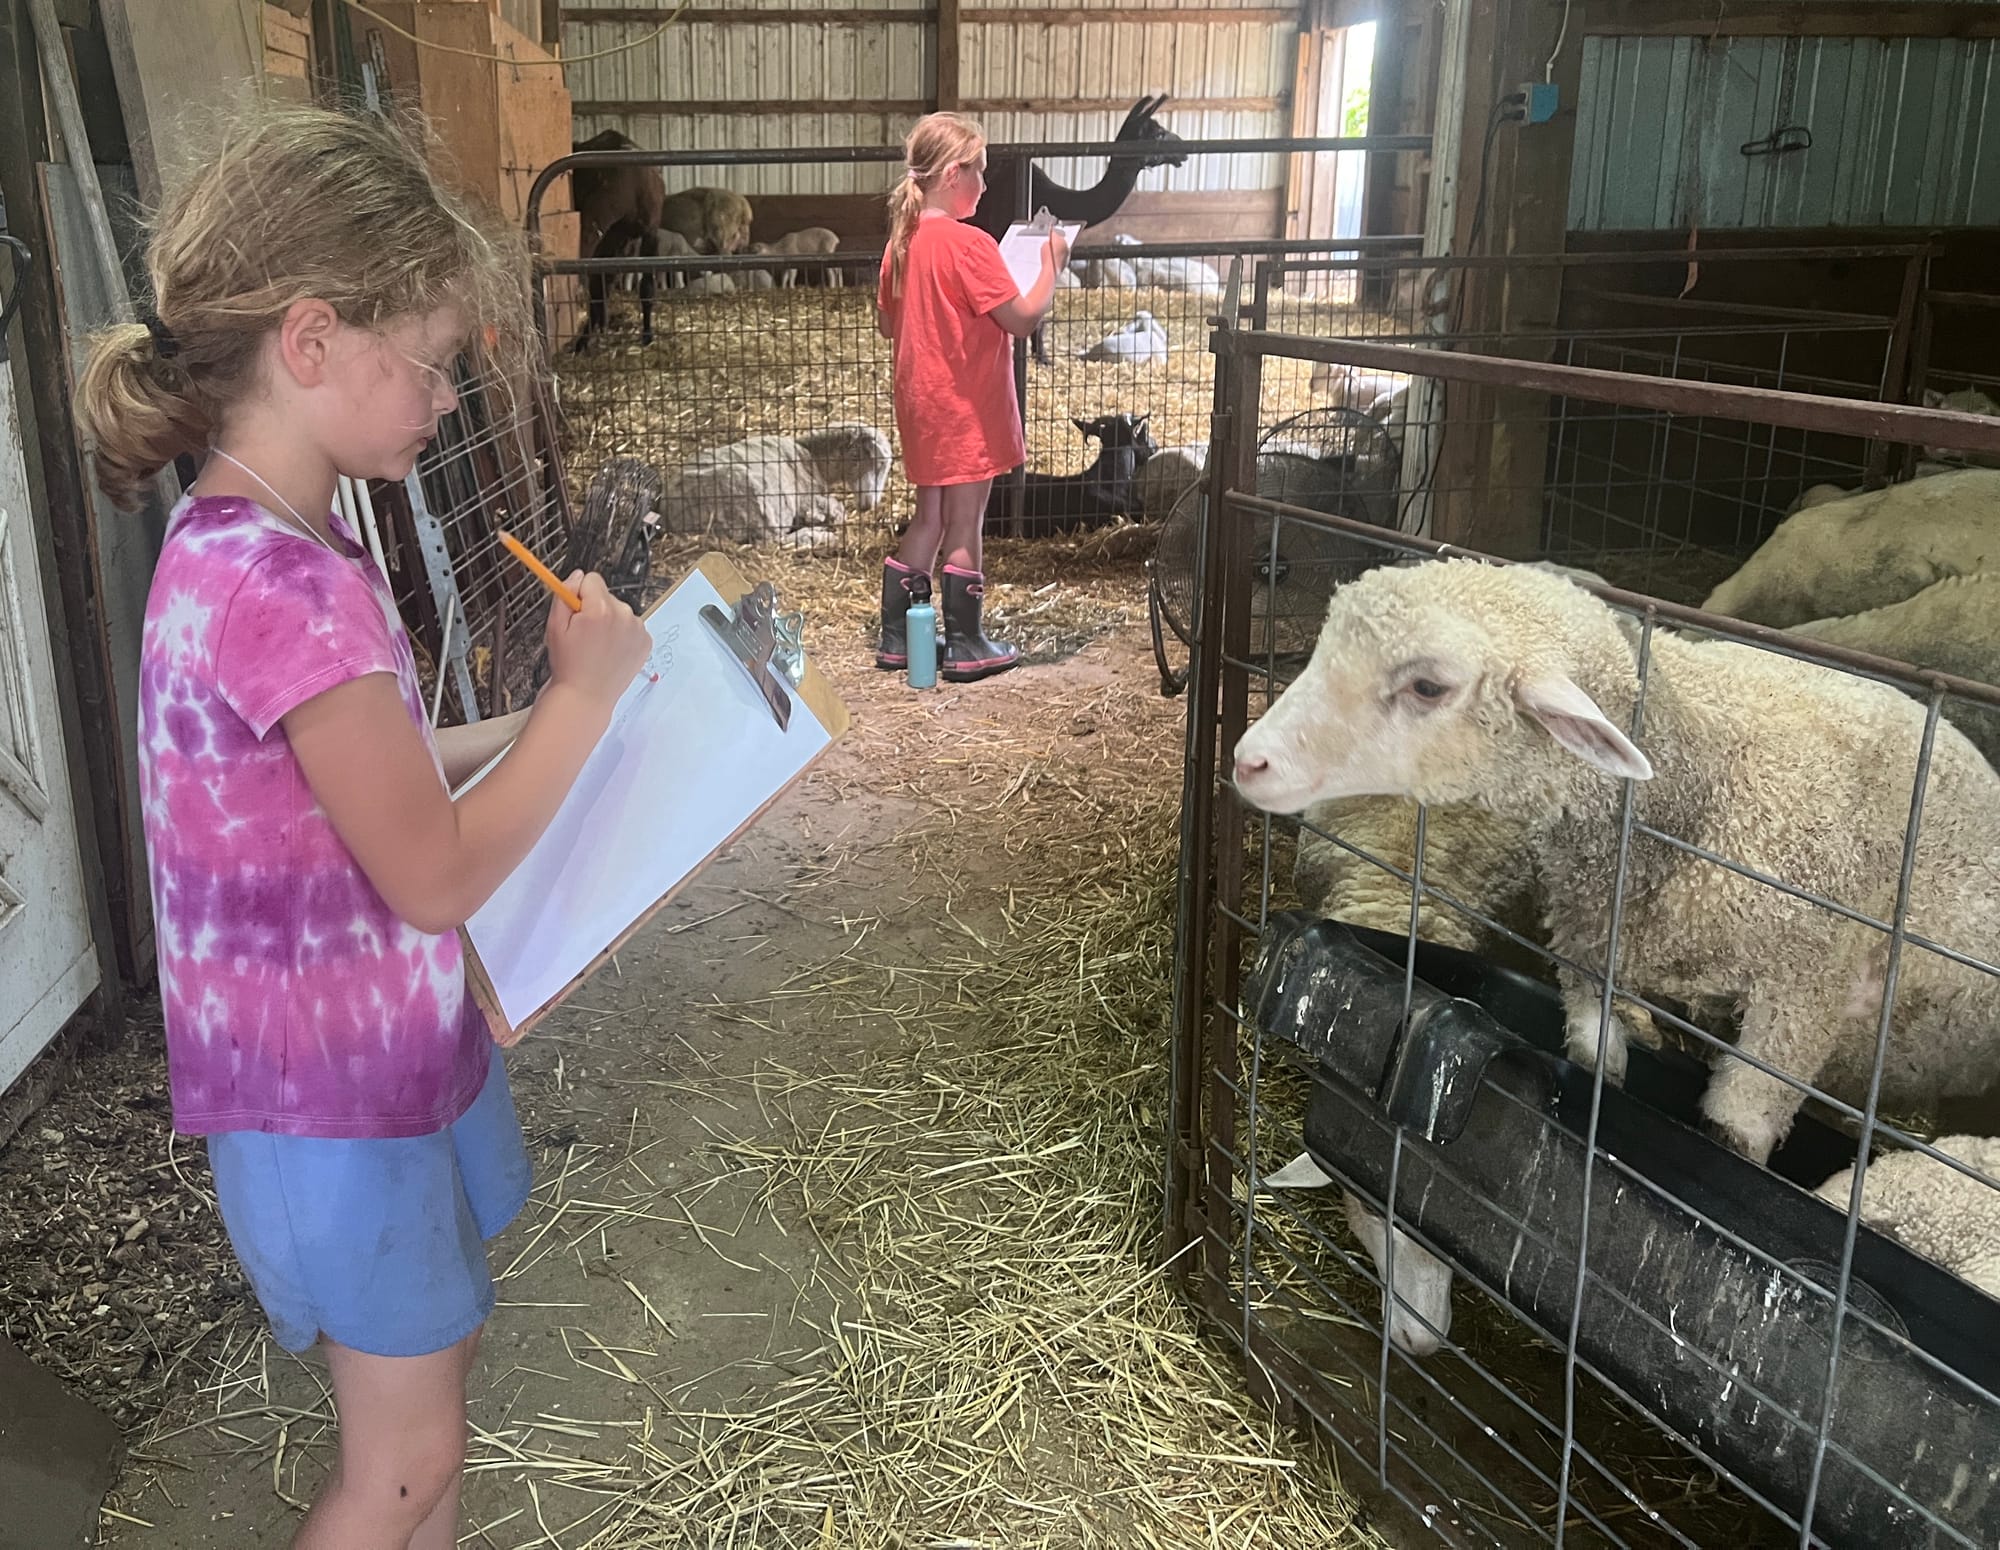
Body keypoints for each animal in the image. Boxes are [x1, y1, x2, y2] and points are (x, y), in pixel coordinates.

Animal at [656, 422, 892, 548]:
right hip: (755, 504)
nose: (868, 505)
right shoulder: (807, 500)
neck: (813, 456)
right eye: (856, 458)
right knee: (773, 542)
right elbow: (836, 509)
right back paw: (820, 536)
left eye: (884, 465)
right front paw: (825, 522)